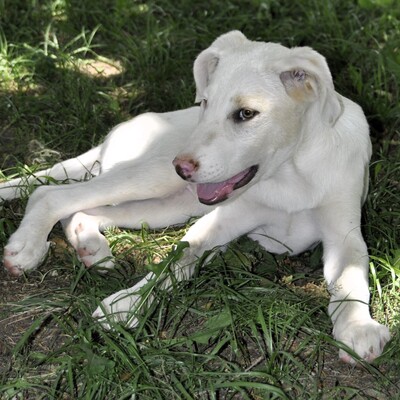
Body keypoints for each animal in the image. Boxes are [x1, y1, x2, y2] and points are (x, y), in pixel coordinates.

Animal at [0, 30, 390, 362]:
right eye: (204, 103)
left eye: (246, 113)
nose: (182, 168)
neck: (289, 172)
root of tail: (114, 133)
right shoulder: (219, 222)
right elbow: (173, 261)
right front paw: (125, 304)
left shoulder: (343, 234)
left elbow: (351, 275)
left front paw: (357, 326)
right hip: (152, 175)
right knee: (49, 194)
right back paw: (27, 248)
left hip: (173, 204)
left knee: (85, 210)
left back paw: (91, 248)